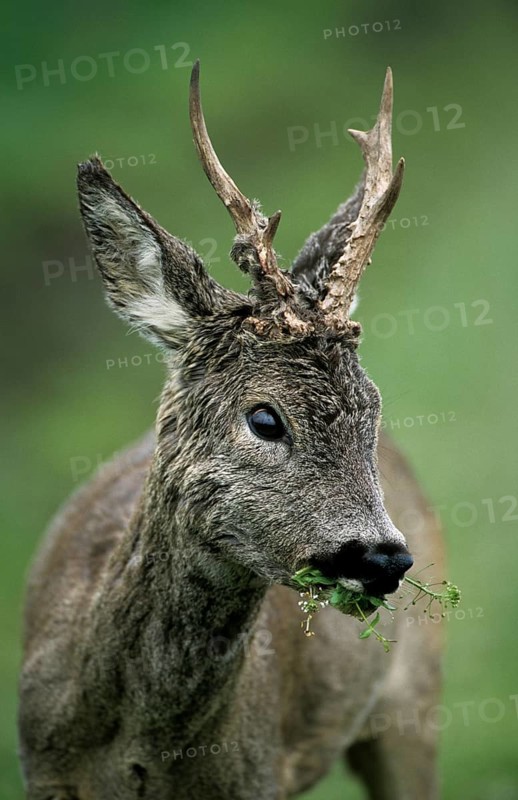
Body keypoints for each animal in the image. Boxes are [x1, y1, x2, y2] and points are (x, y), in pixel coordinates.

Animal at [18, 61, 444, 800]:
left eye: (372, 406)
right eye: (264, 417)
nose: (381, 557)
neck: (138, 754)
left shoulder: (258, 777)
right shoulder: (42, 771)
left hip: (414, 700)